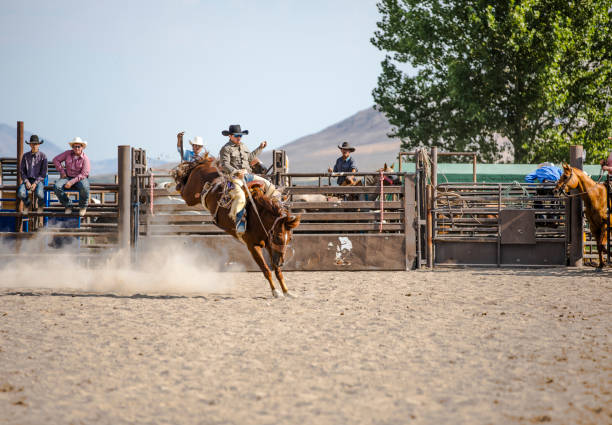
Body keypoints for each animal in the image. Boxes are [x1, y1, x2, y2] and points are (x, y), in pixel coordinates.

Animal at [172, 154, 302, 296]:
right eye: (278, 237)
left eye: (290, 238)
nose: (282, 262)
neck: (258, 215)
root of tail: (205, 163)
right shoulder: (252, 247)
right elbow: (266, 269)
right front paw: (275, 292)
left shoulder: (270, 245)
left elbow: (277, 271)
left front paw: (287, 291)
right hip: (189, 195)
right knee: (182, 187)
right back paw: (172, 182)